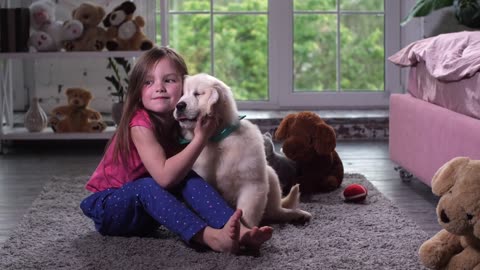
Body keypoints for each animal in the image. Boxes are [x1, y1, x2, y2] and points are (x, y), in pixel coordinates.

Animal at [172, 73, 312, 227]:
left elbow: (247, 214)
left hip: (270, 175)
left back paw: (298, 215)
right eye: (182, 94)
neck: (218, 139)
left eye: (197, 94)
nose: (179, 105)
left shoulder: (252, 184)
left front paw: (245, 230)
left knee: (276, 211)